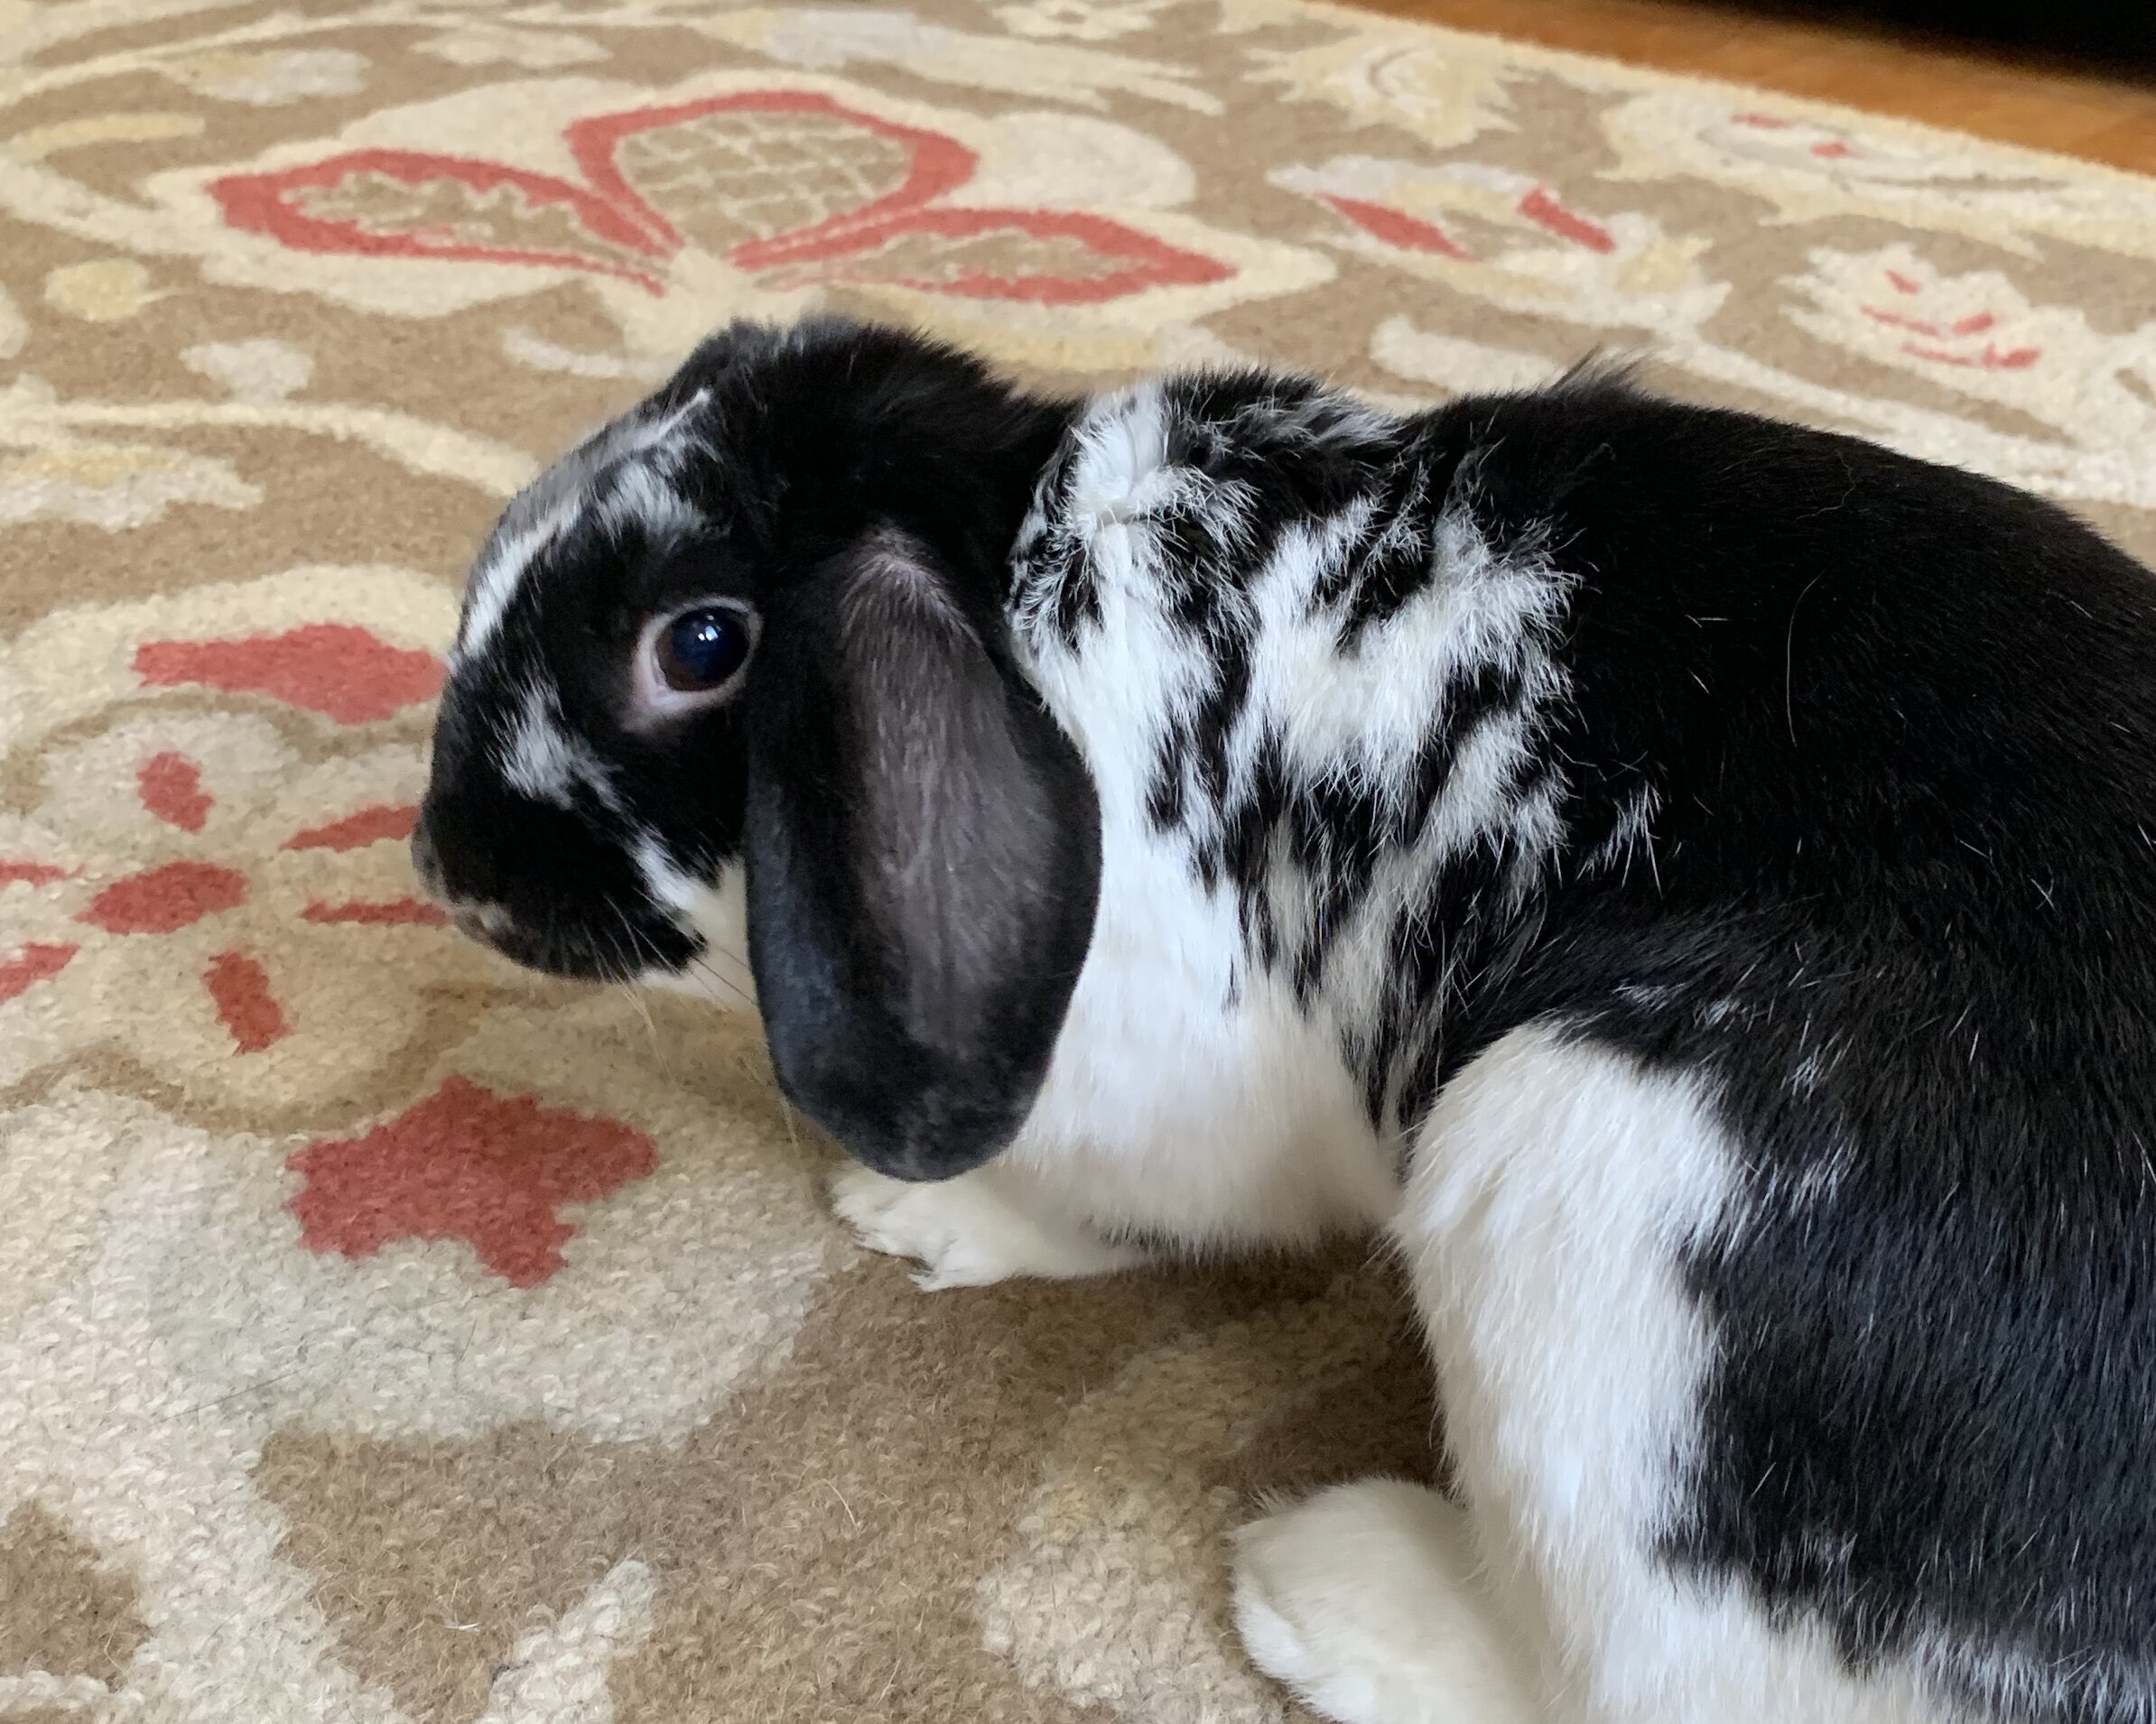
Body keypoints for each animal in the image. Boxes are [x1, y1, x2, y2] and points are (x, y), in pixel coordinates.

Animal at [414, 314, 2156, 1724]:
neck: (1024, 574)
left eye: (699, 644)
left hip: (1568, 1178)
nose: (443, 861)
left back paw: (1326, 1588)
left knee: (1611, 1680)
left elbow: (1110, 1206)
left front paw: (924, 1214)